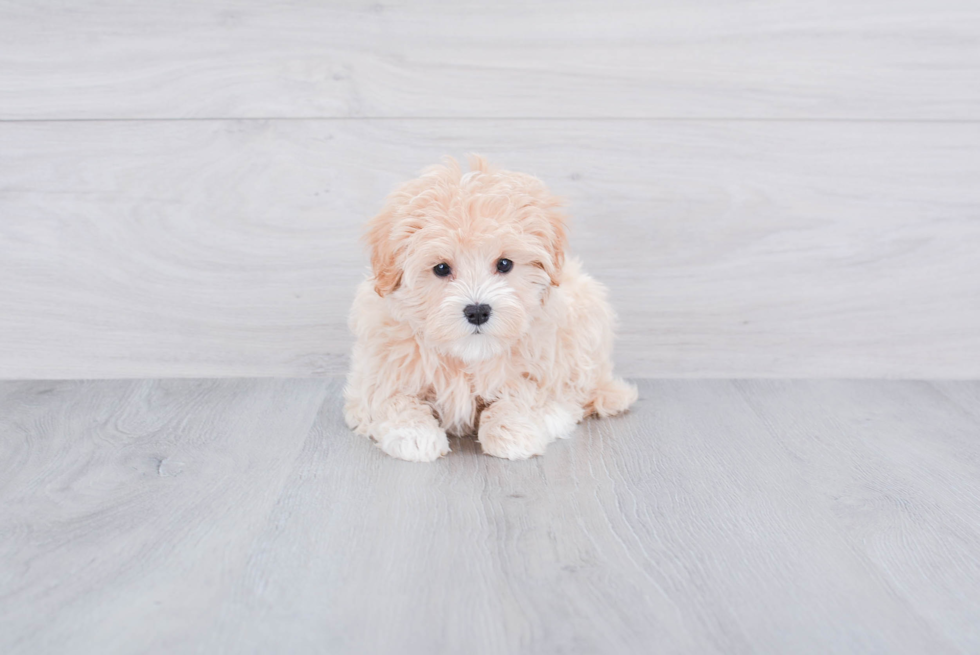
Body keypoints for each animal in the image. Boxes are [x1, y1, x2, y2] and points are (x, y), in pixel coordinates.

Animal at [342, 155, 636, 462]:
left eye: (504, 264)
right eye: (441, 268)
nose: (478, 311)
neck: (466, 356)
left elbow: (522, 394)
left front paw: (512, 430)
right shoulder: (377, 374)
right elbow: (391, 399)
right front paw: (413, 434)